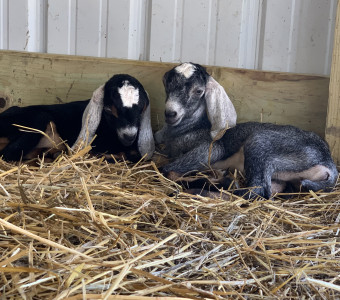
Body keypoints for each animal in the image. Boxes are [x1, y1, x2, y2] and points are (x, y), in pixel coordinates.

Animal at [157, 62, 338, 199]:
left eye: (198, 91)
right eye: (167, 85)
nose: (170, 113)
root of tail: (328, 161)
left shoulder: (212, 148)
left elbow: (166, 169)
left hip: (260, 145)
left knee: (257, 190)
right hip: (285, 177)